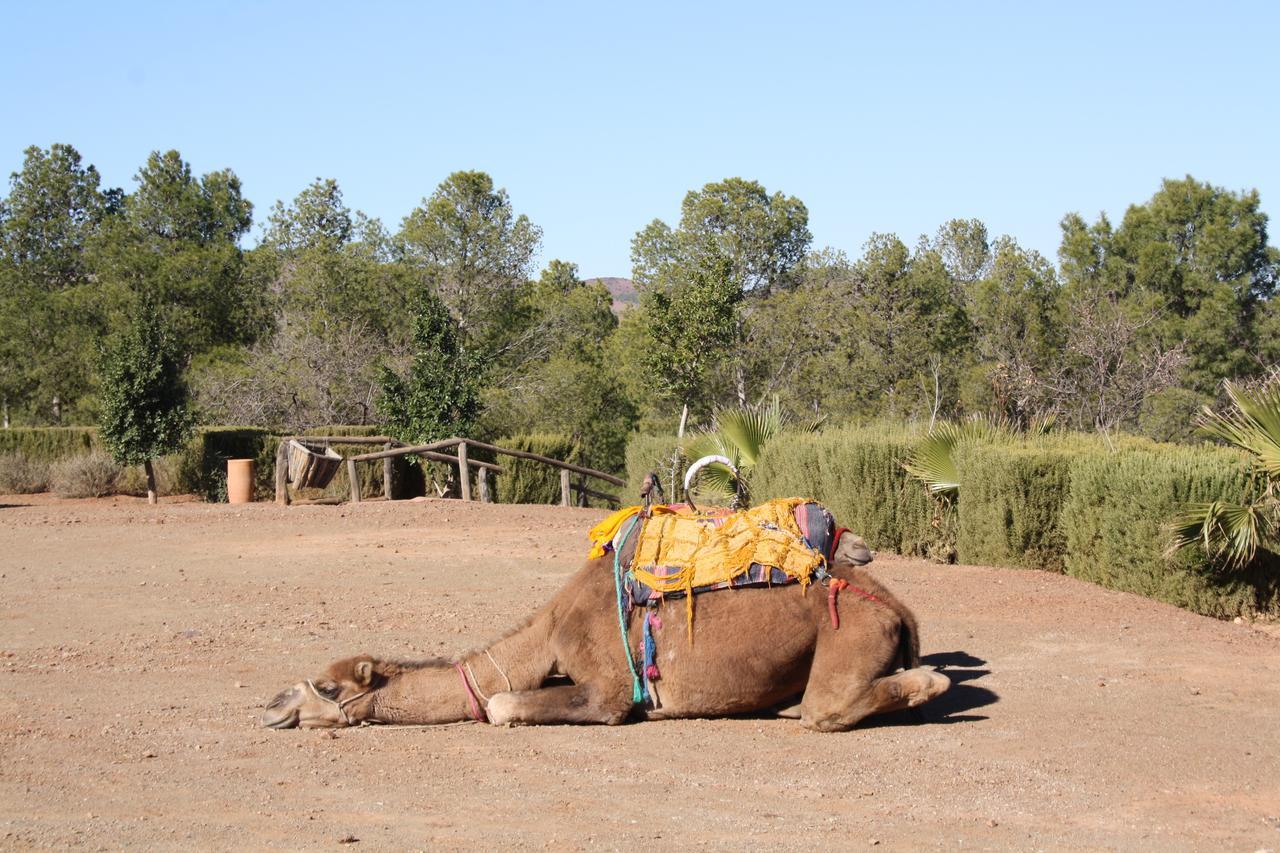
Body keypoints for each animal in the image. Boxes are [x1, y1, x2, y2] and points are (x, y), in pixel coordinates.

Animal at [262, 525, 952, 732]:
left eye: (329, 688)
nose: (271, 705)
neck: (546, 634)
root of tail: (900, 609)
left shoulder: (610, 689)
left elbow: (503, 706)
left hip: (849, 630)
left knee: (830, 706)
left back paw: (932, 682)